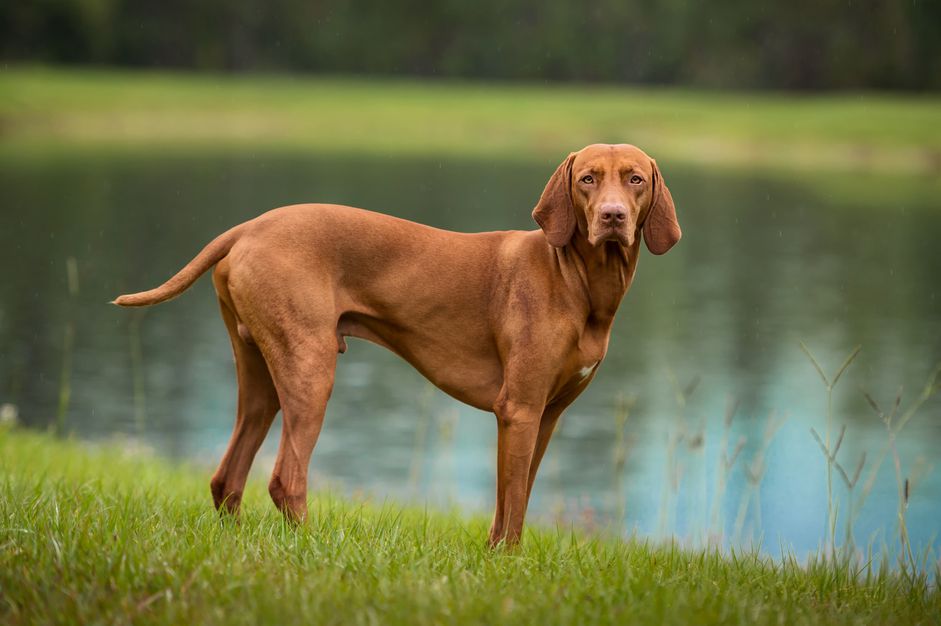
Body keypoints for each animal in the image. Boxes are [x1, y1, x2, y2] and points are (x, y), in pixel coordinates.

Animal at [114, 144, 680, 544]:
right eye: (587, 179)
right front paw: (507, 563)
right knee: (284, 478)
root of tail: (248, 226)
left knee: (227, 477)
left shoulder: (546, 416)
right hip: (310, 371)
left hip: (261, 379)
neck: (577, 282)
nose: (612, 216)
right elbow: (514, 505)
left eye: (635, 178)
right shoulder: (518, 410)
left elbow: (511, 501)